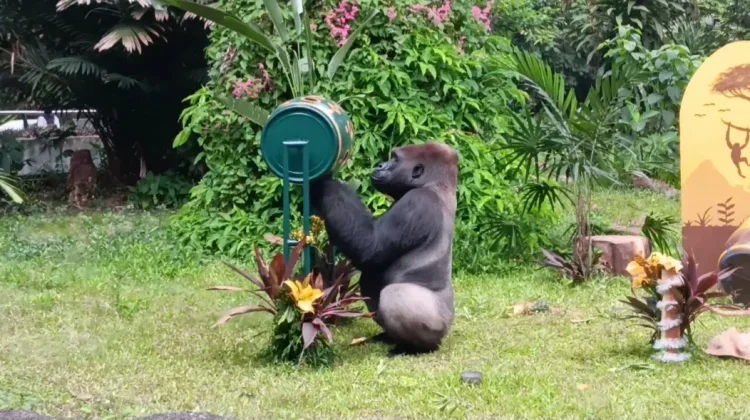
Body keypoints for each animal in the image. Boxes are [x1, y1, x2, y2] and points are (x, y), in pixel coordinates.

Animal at [310, 142, 459, 356]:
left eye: (395, 159)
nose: (380, 165)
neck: (436, 185)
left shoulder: (416, 202)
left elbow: (369, 246)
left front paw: (321, 182)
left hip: (440, 324)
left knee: (394, 294)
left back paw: (416, 348)